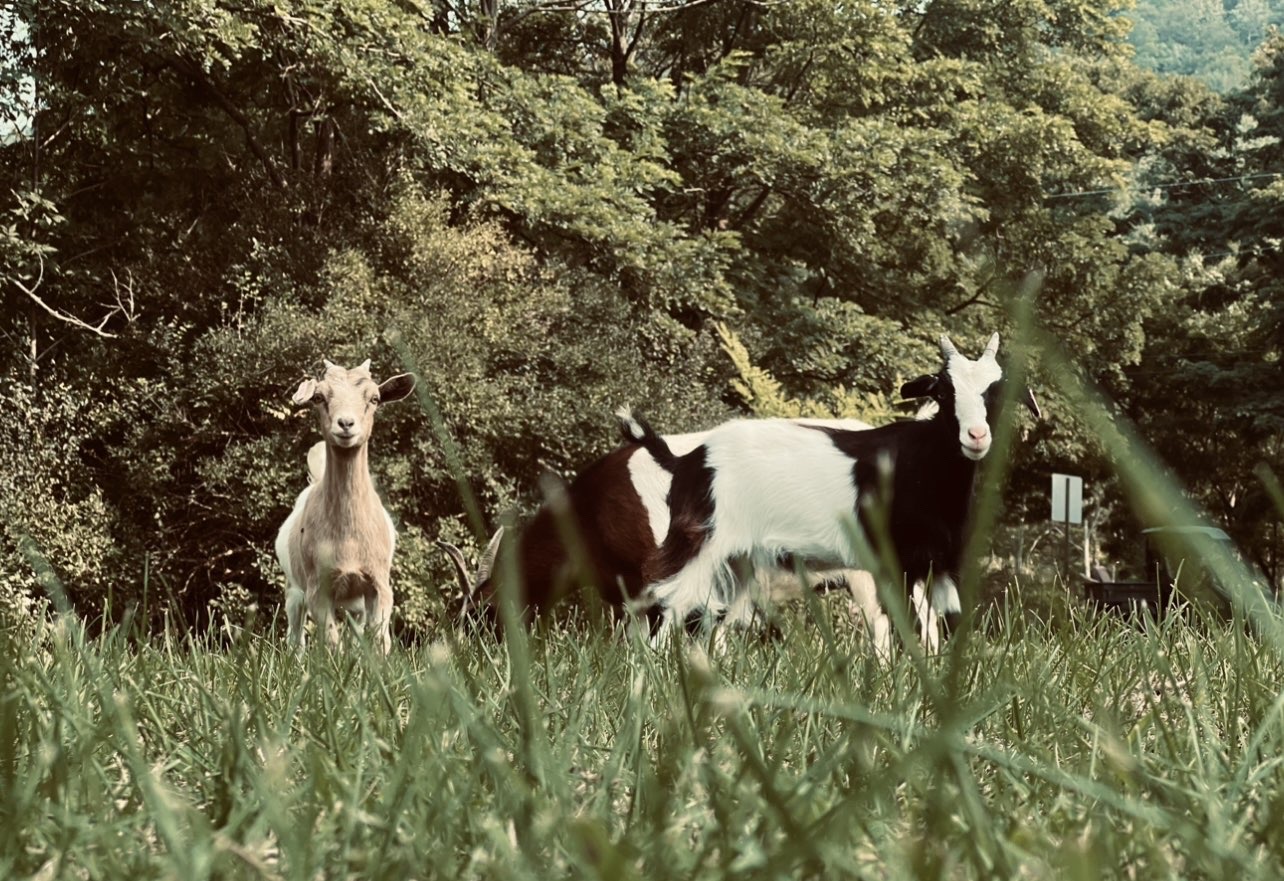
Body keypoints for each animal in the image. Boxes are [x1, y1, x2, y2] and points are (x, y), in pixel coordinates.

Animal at [275, 359, 415, 654]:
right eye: (318, 397)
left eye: (374, 398)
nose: (346, 423)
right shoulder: (318, 587)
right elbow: (330, 641)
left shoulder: (379, 583)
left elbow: (380, 637)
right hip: (293, 588)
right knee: (296, 637)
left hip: (356, 603)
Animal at [642, 333, 1040, 648]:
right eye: (944, 391)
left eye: (996, 392)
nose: (976, 435)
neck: (921, 463)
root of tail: (686, 461)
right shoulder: (894, 562)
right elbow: (907, 627)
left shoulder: (942, 565)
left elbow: (949, 625)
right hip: (701, 544)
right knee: (669, 605)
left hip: (738, 561)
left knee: (710, 617)